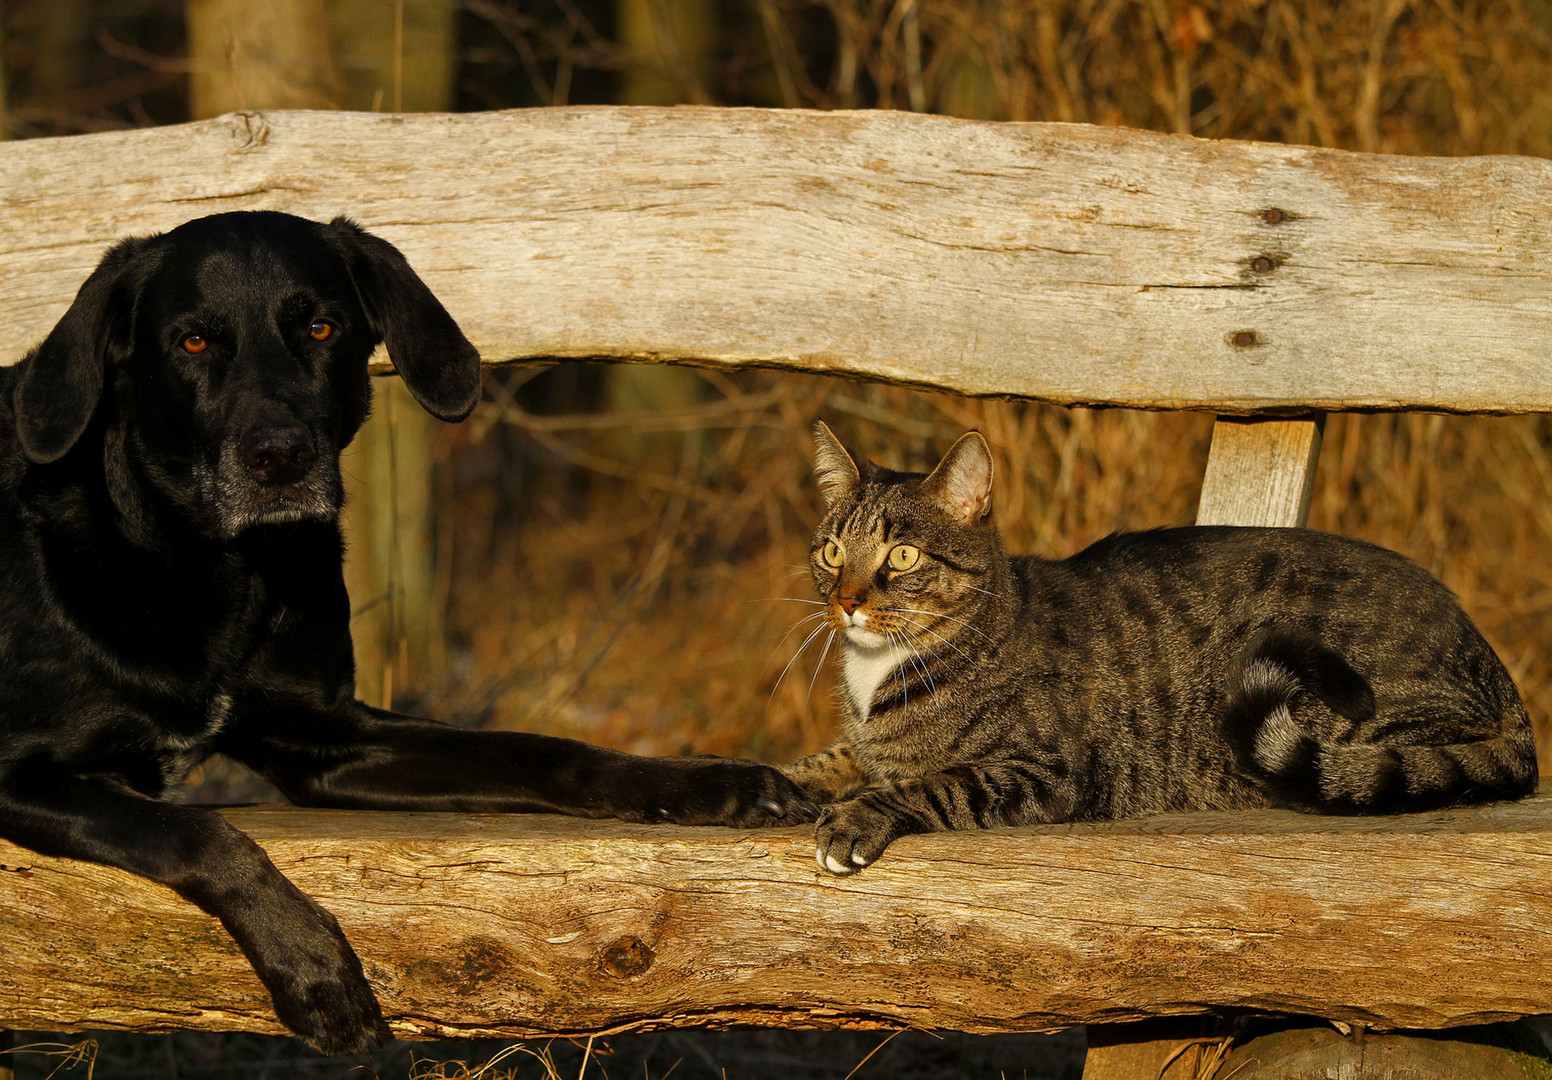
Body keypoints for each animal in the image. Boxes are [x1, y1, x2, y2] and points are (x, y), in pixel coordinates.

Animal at [0, 212, 819, 1055]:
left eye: (322, 328)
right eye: (193, 342)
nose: (280, 457)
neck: (224, 570)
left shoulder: (324, 737)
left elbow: (540, 751)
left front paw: (702, 782)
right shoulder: (19, 771)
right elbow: (201, 833)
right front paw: (314, 967)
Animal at [782, 422, 1533, 875]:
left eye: (902, 556)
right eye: (831, 551)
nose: (846, 601)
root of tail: (1491, 663)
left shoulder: (1048, 771)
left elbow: (933, 782)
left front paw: (857, 815)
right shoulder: (860, 744)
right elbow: (829, 759)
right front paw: (781, 779)